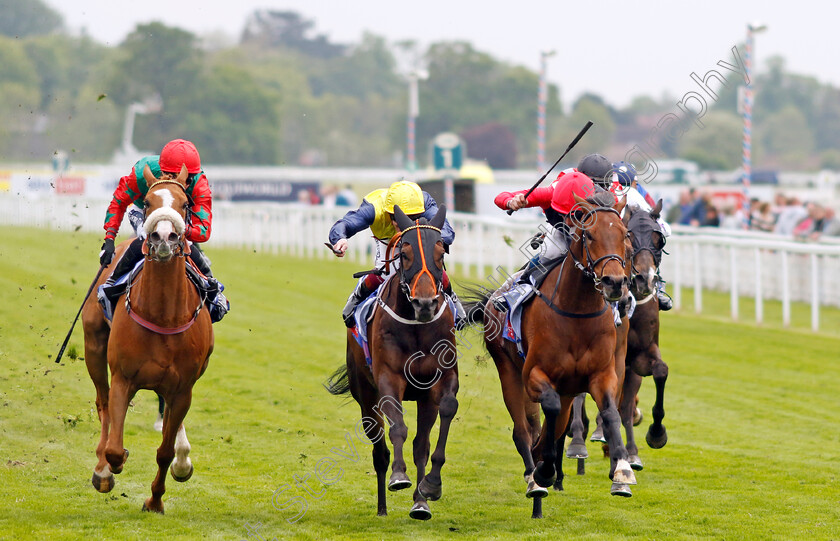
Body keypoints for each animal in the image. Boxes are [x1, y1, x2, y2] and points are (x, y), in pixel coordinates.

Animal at [81, 165, 215, 510]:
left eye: (185, 204)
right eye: (148, 202)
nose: (164, 236)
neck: (163, 315)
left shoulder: (183, 388)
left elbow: (164, 452)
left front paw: (155, 500)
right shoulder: (123, 377)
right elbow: (115, 447)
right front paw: (108, 468)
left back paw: (183, 458)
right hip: (94, 346)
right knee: (102, 401)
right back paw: (101, 466)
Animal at [328, 204, 460, 520]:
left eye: (441, 253)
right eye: (405, 251)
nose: (425, 303)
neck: (417, 325)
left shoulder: (440, 380)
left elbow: (445, 412)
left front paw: (431, 486)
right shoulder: (388, 379)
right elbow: (397, 426)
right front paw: (399, 476)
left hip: (423, 398)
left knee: (420, 445)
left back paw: (420, 503)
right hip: (365, 395)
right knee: (379, 450)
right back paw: (382, 507)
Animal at [462, 192, 632, 516]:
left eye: (624, 235)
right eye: (590, 234)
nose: (615, 283)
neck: (577, 313)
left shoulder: (602, 375)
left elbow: (610, 411)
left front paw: (622, 472)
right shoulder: (534, 375)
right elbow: (547, 412)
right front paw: (543, 470)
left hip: (567, 391)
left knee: (555, 427)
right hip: (508, 372)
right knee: (523, 431)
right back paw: (535, 478)